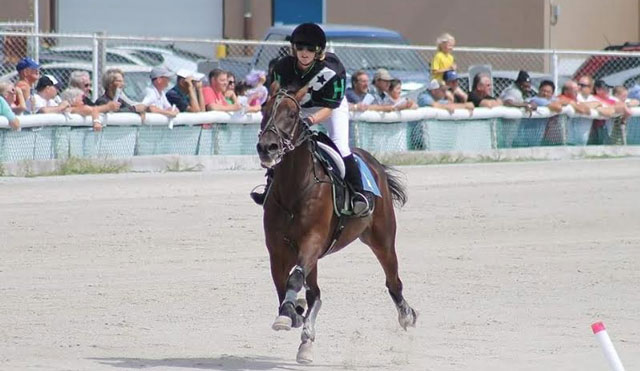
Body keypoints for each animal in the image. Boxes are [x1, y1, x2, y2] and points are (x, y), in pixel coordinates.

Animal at [256, 85, 420, 364]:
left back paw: (407, 315)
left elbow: (293, 281)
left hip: (382, 238)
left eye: (292, 114)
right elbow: (283, 286)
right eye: (263, 109)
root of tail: (373, 162)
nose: (267, 147)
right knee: (315, 293)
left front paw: (289, 316)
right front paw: (292, 313)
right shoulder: (277, 250)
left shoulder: (312, 241)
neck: (293, 188)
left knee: (393, 281)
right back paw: (305, 338)